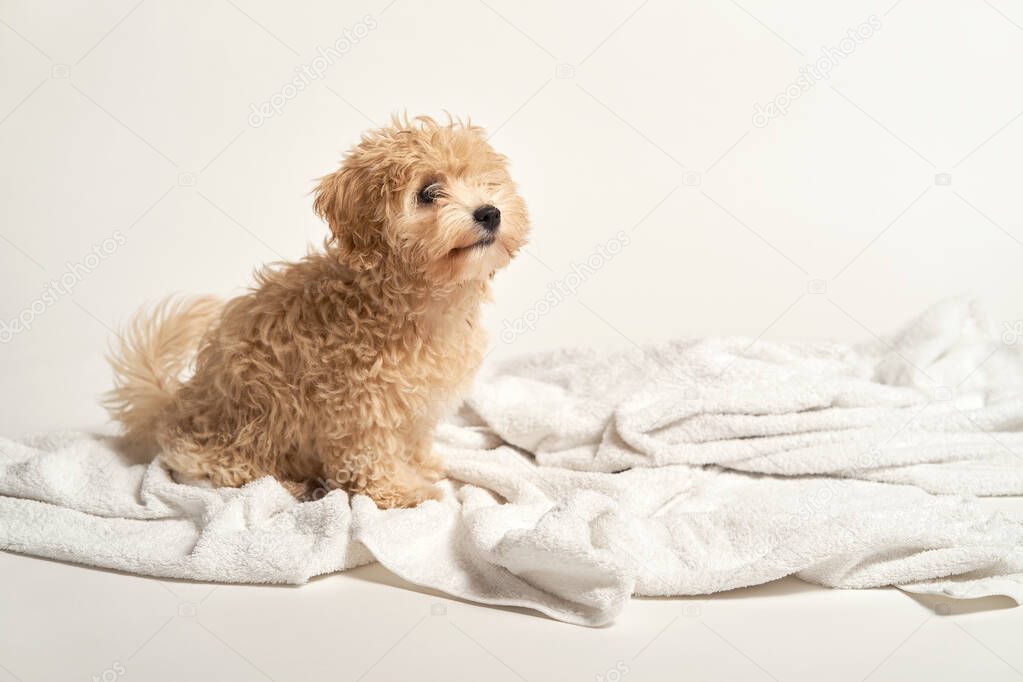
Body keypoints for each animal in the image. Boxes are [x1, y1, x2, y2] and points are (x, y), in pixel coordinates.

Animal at [105, 116, 527, 507]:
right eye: (428, 193)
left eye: (486, 182)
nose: (490, 212)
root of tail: (171, 408)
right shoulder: (358, 407)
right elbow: (370, 458)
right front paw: (404, 492)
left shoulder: (414, 406)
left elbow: (413, 438)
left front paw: (422, 465)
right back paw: (291, 485)